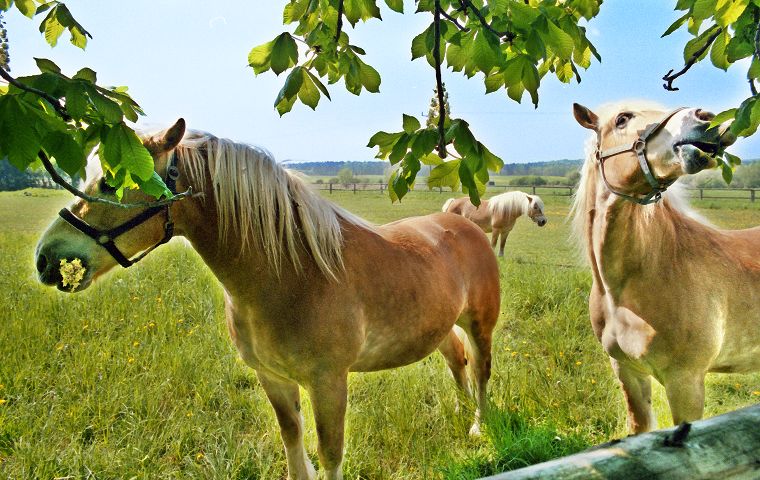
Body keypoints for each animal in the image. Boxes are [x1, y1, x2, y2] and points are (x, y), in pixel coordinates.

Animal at [34, 120, 501, 480]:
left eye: (112, 182)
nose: (47, 258)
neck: (293, 274)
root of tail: (462, 222)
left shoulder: (329, 382)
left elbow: (330, 454)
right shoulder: (273, 379)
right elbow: (292, 441)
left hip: (480, 325)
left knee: (480, 371)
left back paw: (477, 427)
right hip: (438, 327)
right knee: (456, 359)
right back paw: (460, 414)